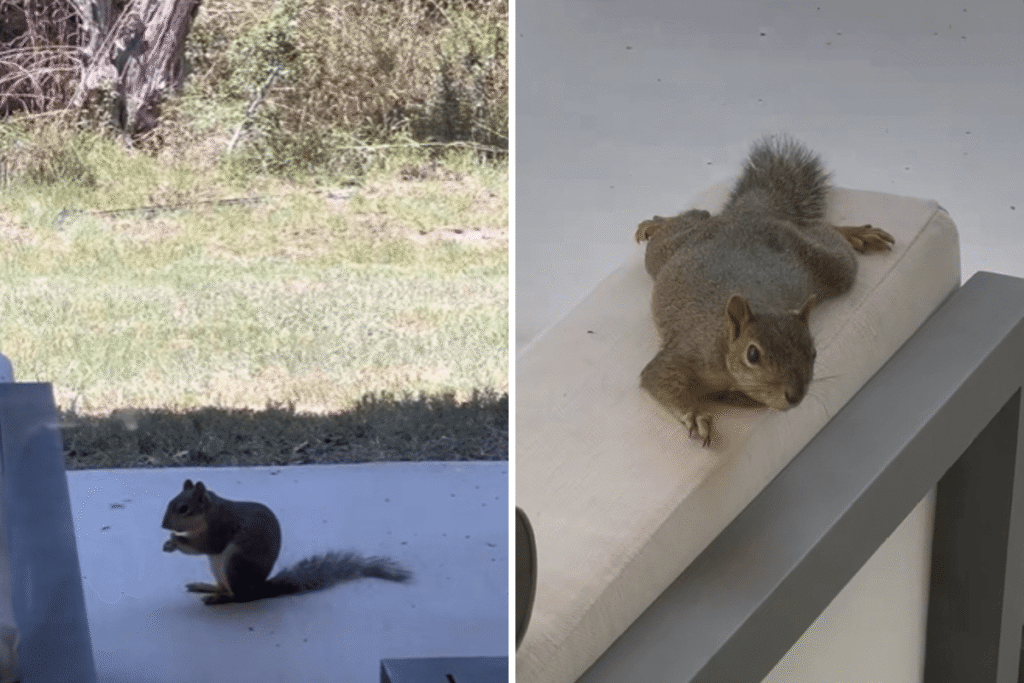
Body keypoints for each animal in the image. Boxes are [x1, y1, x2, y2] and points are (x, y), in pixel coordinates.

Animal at [161, 479, 411, 605]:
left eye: (184, 508)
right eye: (171, 501)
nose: (164, 525)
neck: (209, 512)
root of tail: (257, 589)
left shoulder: (221, 527)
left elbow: (208, 546)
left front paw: (176, 541)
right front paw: (169, 543)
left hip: (235, 564)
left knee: (239, 597)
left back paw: (219, 599)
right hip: (218, 567)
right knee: (226, 587)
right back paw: (207, 587)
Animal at [634, 134, 895, 446]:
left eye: (814, 352)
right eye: (753, 355)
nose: (795, 396)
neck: (724, 343)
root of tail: (749, 214)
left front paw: (731, 397)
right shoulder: (687, 352)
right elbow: (658, 379)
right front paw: (694, 415)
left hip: (827, 263)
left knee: (821, 230)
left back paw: (854, 233)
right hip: (665, 252)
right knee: (695, 217)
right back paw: (656, 223)